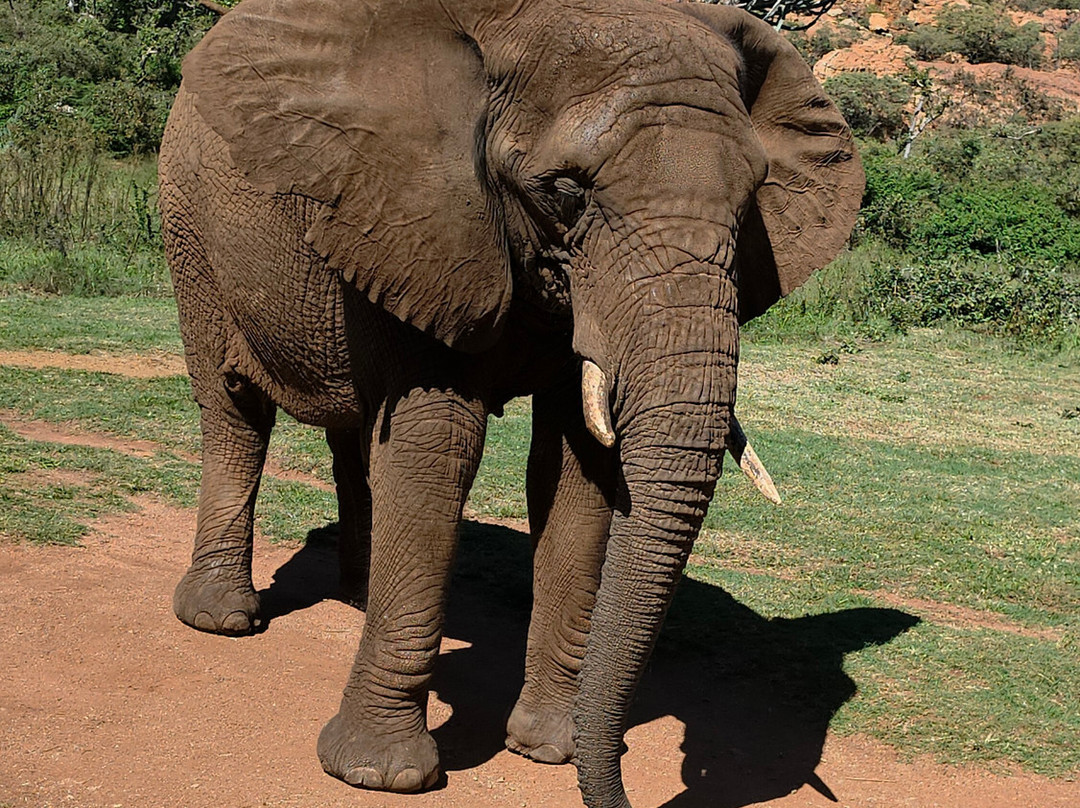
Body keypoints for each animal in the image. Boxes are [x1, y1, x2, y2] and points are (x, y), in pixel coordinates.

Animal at [156, 0, 863, 806]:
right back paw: (220, 618)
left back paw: (358, 594)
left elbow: (576, 467)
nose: (622, 791)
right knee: (234, 409)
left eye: (752, 203)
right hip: (189, 228)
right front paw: (380, 774)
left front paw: (548, 750)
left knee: (353, 434)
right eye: (566, 192)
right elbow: (437, 447)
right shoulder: (418, 215)